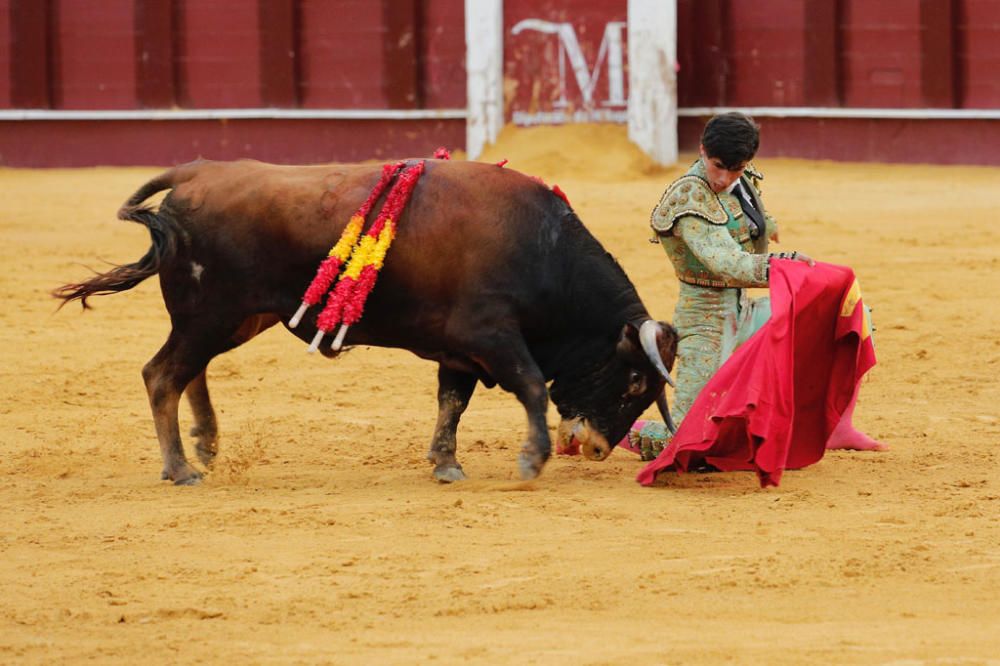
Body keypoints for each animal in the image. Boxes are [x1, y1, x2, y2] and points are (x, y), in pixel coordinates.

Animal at [56, 159, 680, 486]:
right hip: (209, 315)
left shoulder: (459, 352)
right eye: (633, 382)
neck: (542, 251)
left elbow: (452, 403)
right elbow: (529, 385)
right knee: (162, 374)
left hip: (237, 318)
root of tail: (197, 173)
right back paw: (181, 468)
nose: (598, 449)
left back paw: (205, 445)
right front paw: (531, 457)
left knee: (192, 372)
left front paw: (445, 464)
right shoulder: (490, 335)